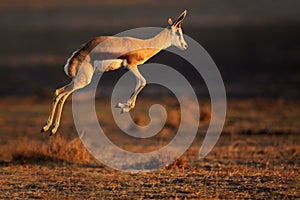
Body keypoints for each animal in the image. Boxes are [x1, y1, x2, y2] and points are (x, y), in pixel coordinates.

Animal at [41, 9, 189, 134]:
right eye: (178, 32)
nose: (185, 46)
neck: (142, 45)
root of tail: (75, 56)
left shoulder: (131, 67)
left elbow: (139, 83)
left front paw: (125, 106)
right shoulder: (131, 65)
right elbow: (143, 82)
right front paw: (123, 106)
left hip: (76, 81)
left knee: (59, 93)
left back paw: (49, 128)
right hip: (82, 81)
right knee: (61, 95)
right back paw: (50, 128)